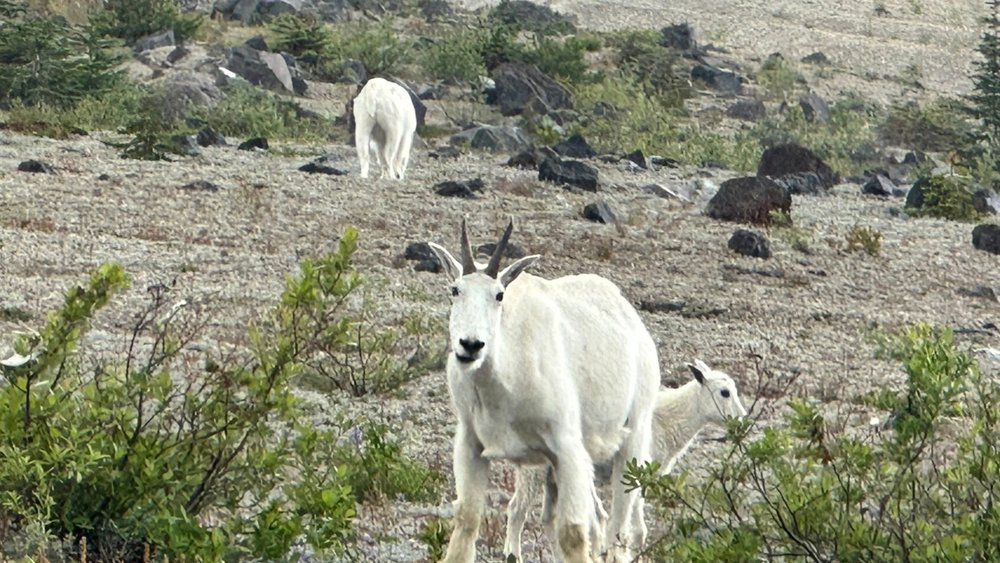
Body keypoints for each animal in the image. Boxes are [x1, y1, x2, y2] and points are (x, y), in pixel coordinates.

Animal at [427, 220, 660, 563]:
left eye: (499, 295)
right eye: (455, 290)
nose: (470, 345)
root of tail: (631, 319)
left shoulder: (567, 448)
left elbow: (573, 535)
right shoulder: (471, 444)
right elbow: (467, 521)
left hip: (634, 436)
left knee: (618, 529)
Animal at [504, 359, 748, 561]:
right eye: (724, 392)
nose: (742, 420)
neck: (670, 418)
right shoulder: (638, 472)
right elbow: (637, 530)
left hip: (553, 475)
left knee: (549, 519)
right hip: (532, 471)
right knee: (516, 512)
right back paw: (512, 555)